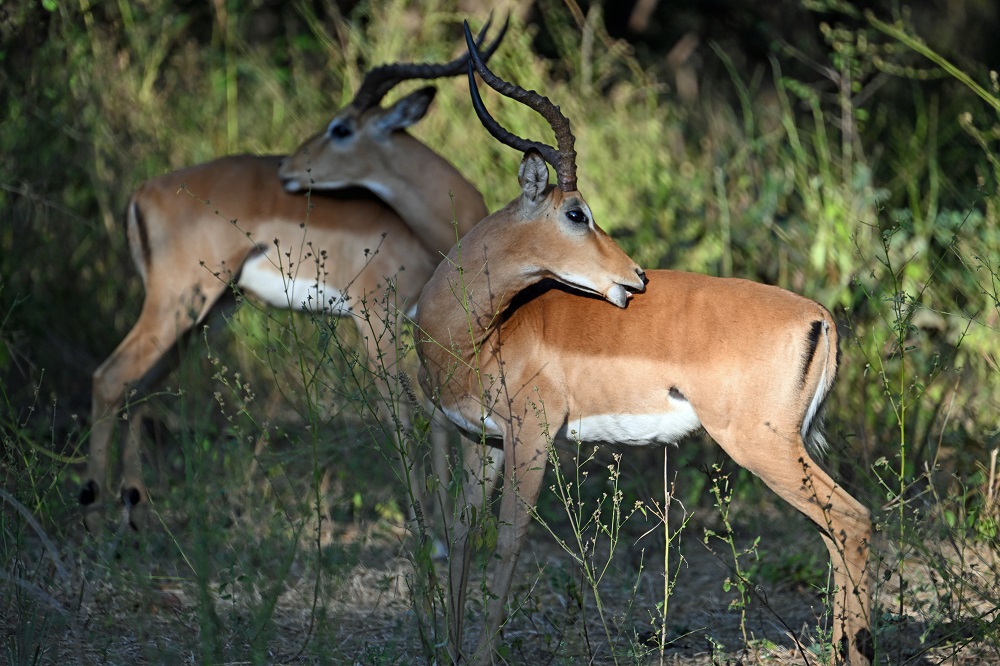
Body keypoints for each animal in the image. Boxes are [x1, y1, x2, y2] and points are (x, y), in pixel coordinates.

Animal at [81, 19, 507, 534]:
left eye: (341, 127)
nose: (287, 166)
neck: (438, 227)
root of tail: (144, 190)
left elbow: (442, 418)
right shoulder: (374, 319)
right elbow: (402, 416)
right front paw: (427, 531)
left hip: (206, 313)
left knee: (140, 388)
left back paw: (136, 511)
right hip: (178, 303)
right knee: (111, 379)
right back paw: (94, 514)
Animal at [413, 22, 873, 664]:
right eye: (576, 213)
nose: (635, 277)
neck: (482, 332)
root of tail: (821, 317)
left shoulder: (530, 436)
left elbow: (507, 547)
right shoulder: (482, 441)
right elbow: (459, 534)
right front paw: (451, 647)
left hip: (763, 446)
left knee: (852, 521)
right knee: (834, 530)